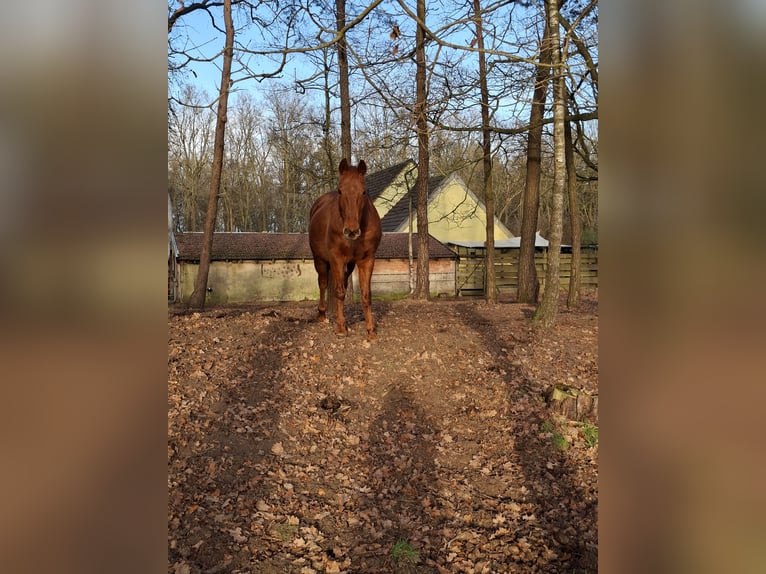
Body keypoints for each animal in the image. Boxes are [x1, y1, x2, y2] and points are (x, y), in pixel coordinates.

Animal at [309, 158, 382, 341]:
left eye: (364, 192)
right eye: (340, 191)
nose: (351, 231)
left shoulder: (367, 260)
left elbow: (366, 295)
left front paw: (371, 331)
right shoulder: (336, 259)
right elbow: (339, 292)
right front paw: (341, 328)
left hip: (349, 265)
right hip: (320, 260)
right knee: (323, 283)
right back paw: (322, 315)